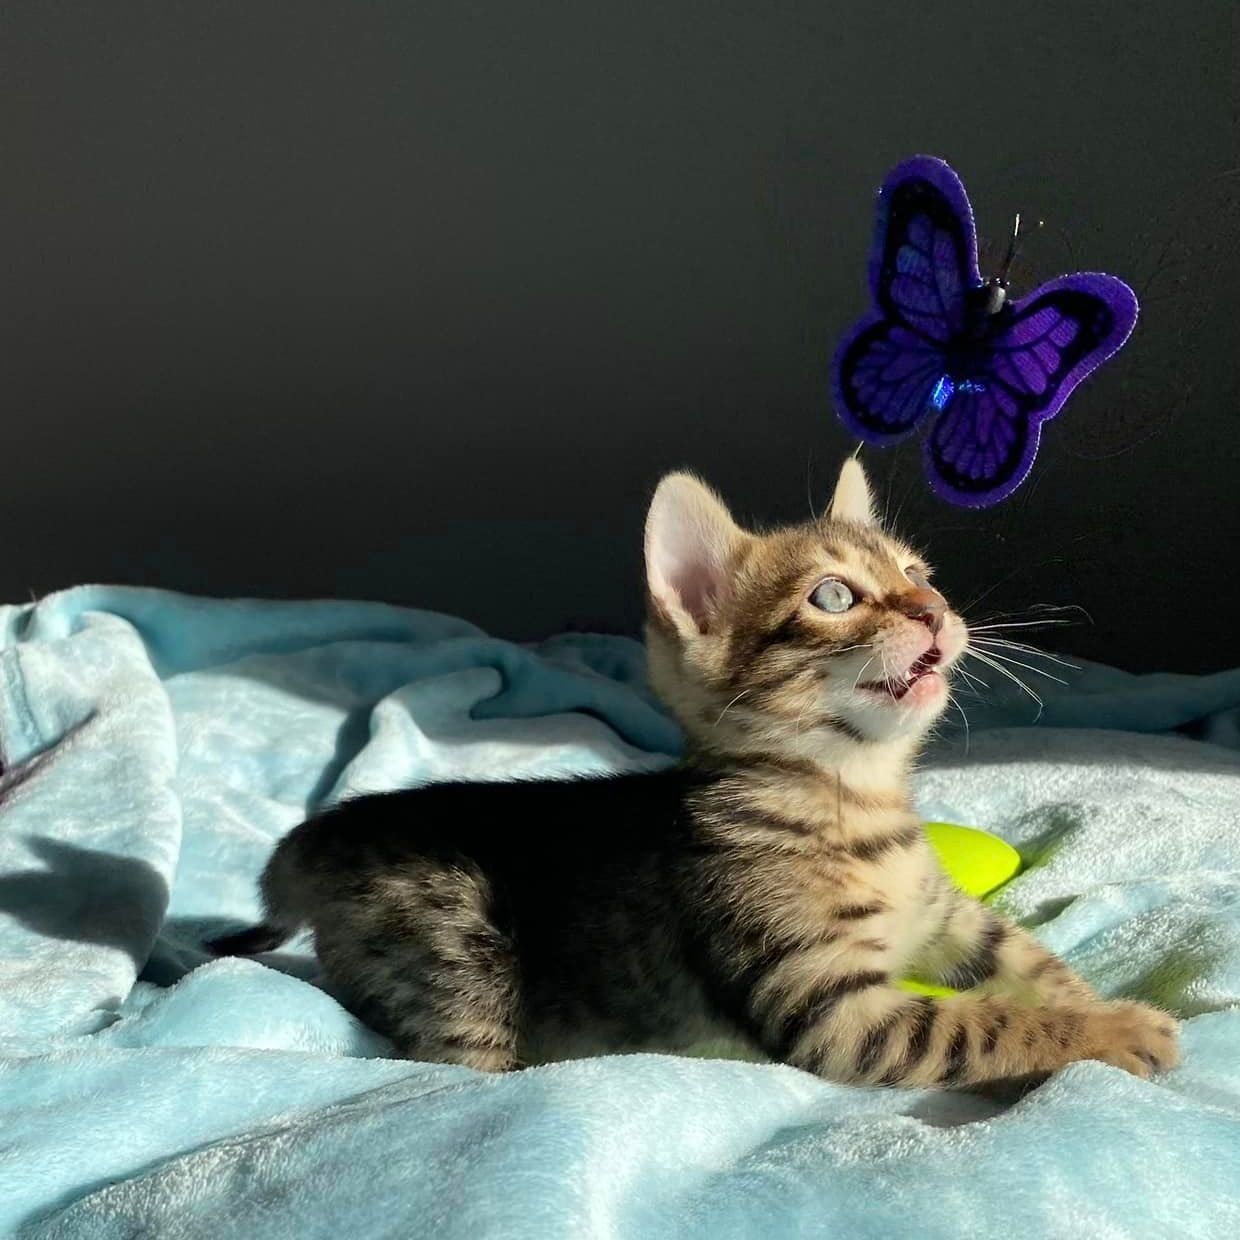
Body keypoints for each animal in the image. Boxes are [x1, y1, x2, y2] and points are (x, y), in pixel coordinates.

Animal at [215, 463, 1180, 1086]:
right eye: (835, 596)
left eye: (916, 573)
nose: (937, 609)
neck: (854, 802)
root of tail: (318, 839)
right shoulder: (833, 1012)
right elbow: (983, 1022)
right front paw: (1115, 1031)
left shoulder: (952, 920)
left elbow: (1027, 961)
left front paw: (1100, 1002)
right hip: (456, 964)